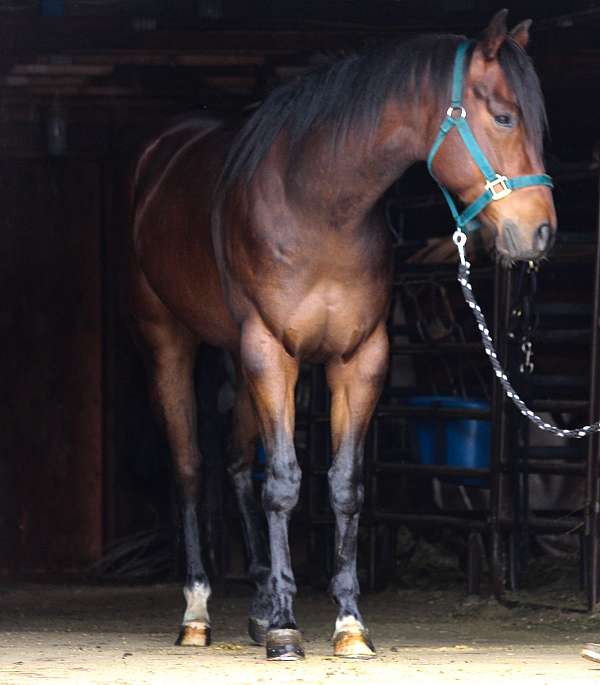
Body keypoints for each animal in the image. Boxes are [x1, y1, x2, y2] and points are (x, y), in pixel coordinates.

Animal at [128, 9, 556, 661]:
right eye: (505, 117)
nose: (540, 233)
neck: (320, 205)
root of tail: (162, 153)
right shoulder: (272, 352)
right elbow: (284, 481)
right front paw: (285, 628)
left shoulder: (361, 359)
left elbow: (345, 487)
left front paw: (348, 623)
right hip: (172, 343)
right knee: (191, 468)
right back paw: (198, 612)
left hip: (237, 358)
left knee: (236, 462)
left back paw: (256, 602)